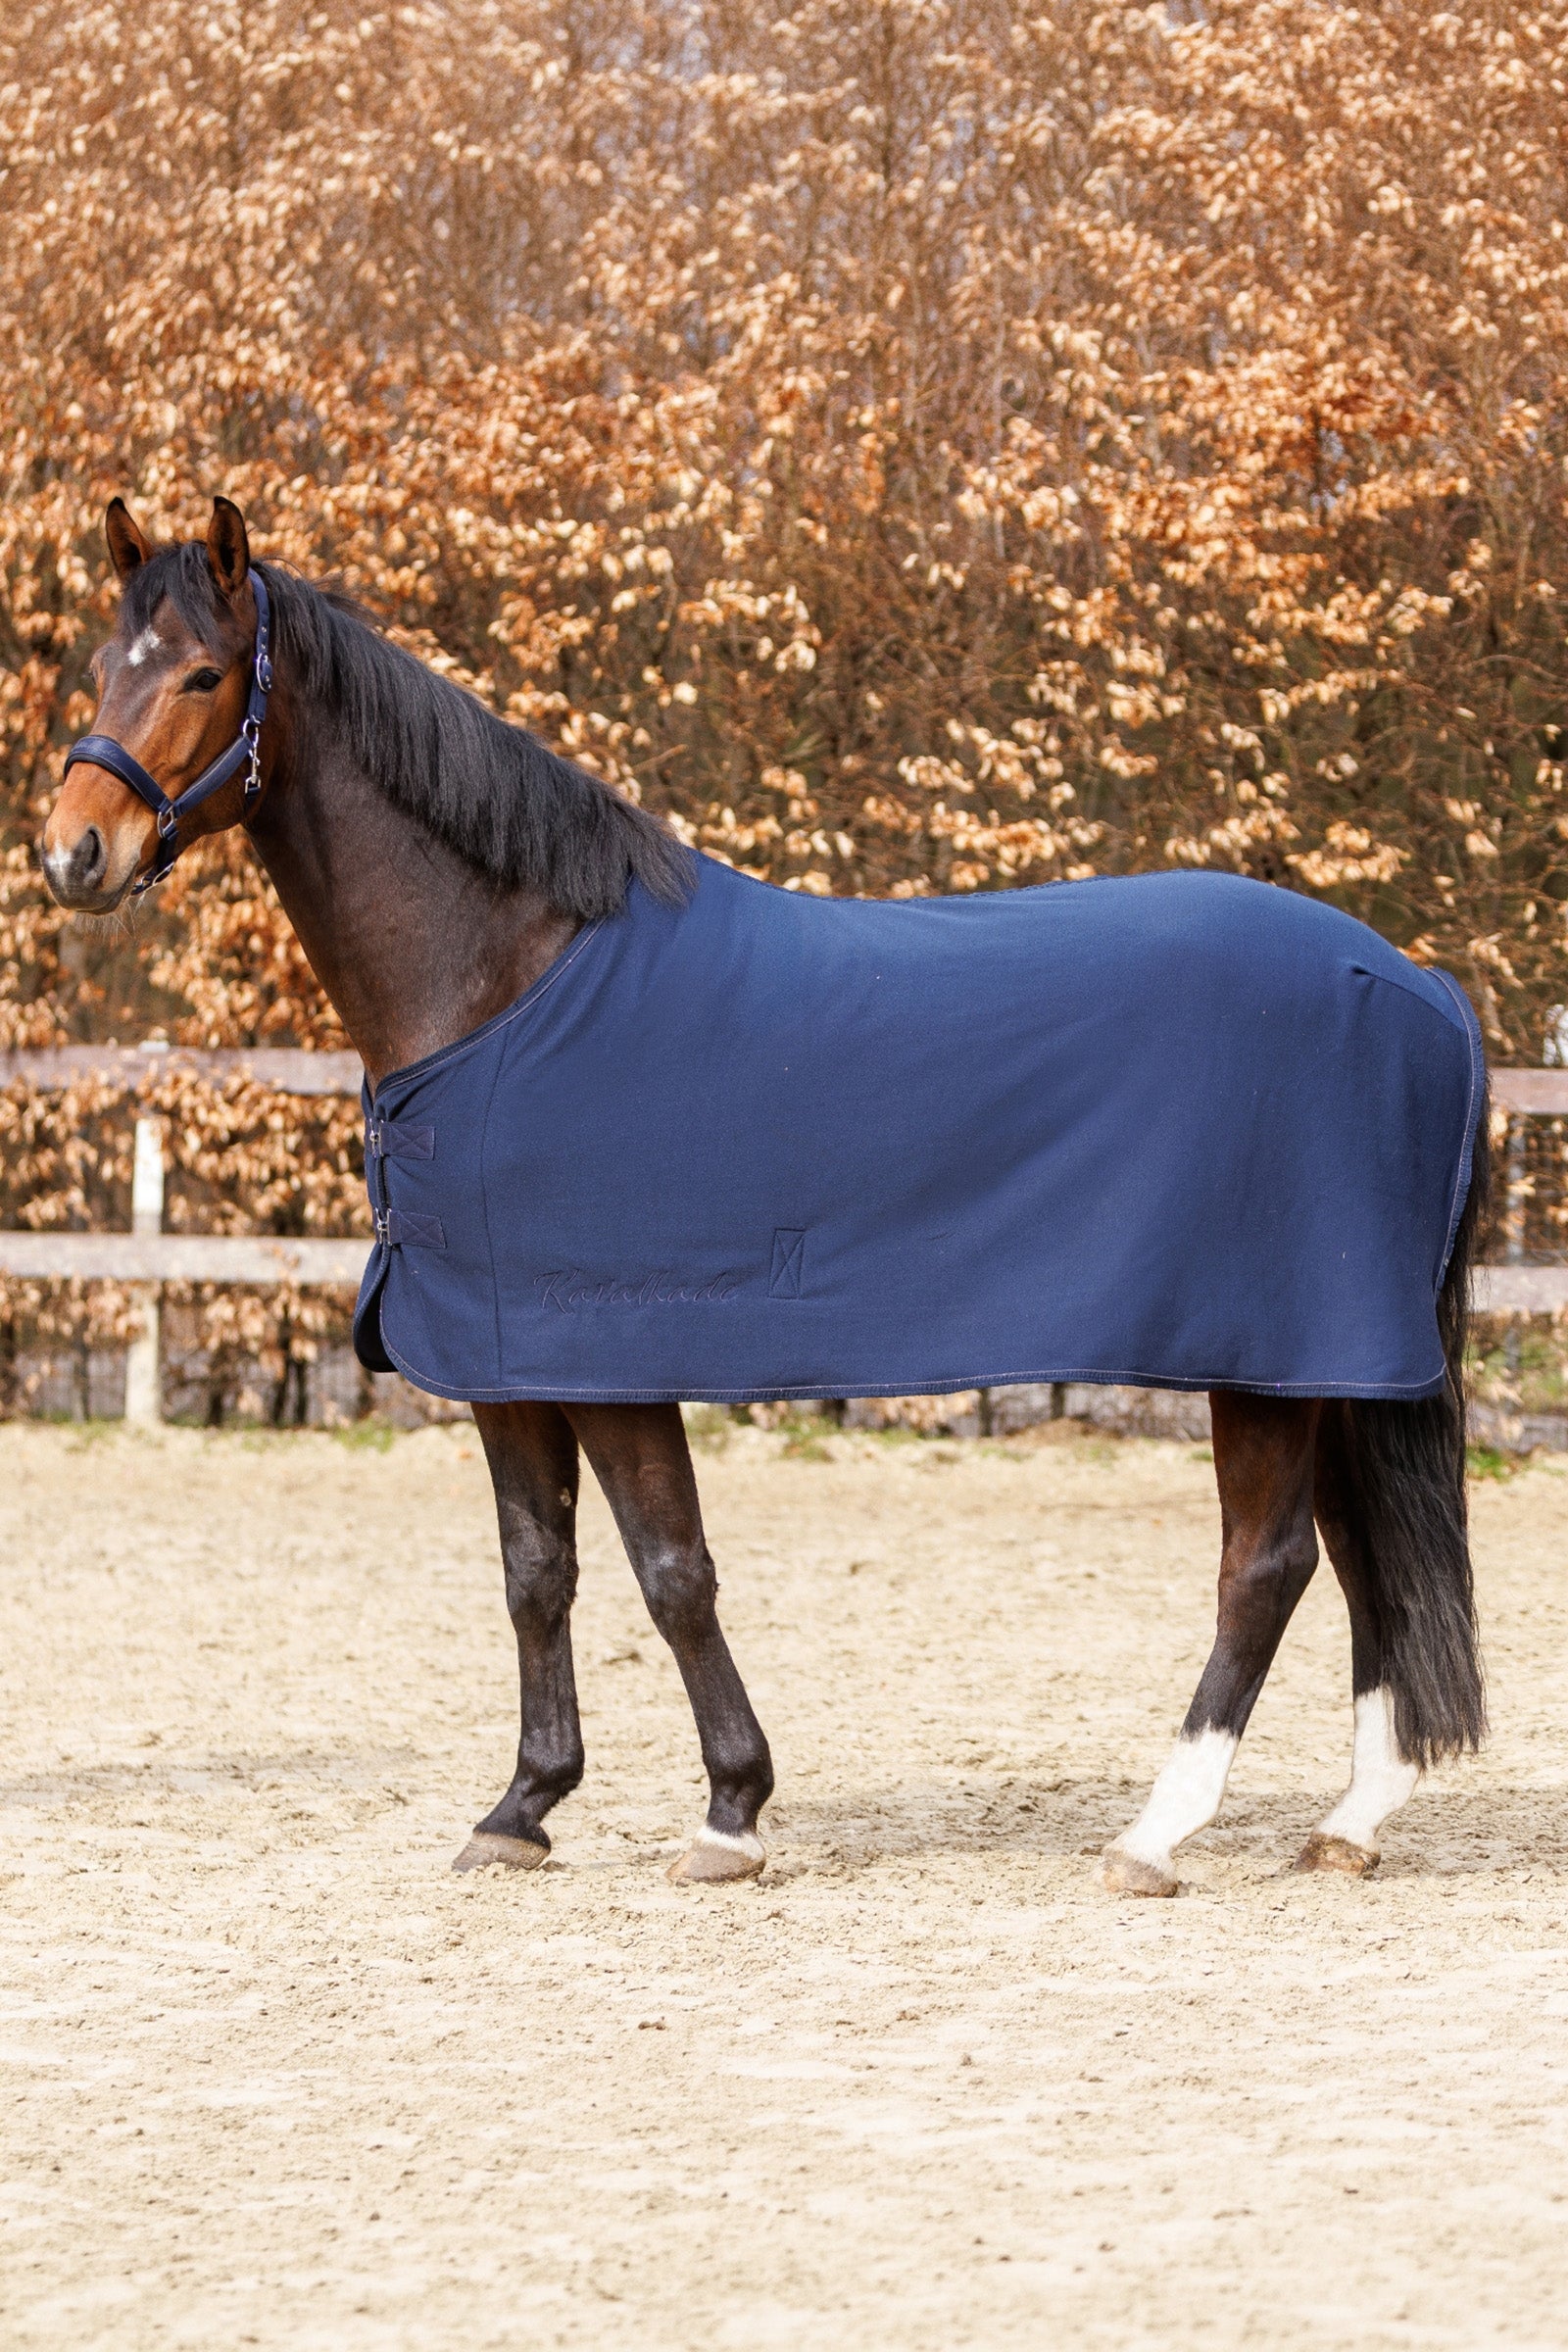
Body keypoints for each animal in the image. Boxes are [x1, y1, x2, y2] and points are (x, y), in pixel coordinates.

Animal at [39, 497, 1490, 1897]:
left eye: (204, 673)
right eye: (104, 666)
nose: (74, 854)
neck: (503, 982)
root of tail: (1418, 987)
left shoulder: (611, 1360)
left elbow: (672, 1573)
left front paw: (730, 1812)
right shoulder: (506, 1365)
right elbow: (536, 1576)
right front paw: (522, 1809)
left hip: (1270, 1364)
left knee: (1268, 1566)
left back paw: (1156, 1833)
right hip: (1331, 1366)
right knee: (1362, 1556)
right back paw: (1352, 1820)